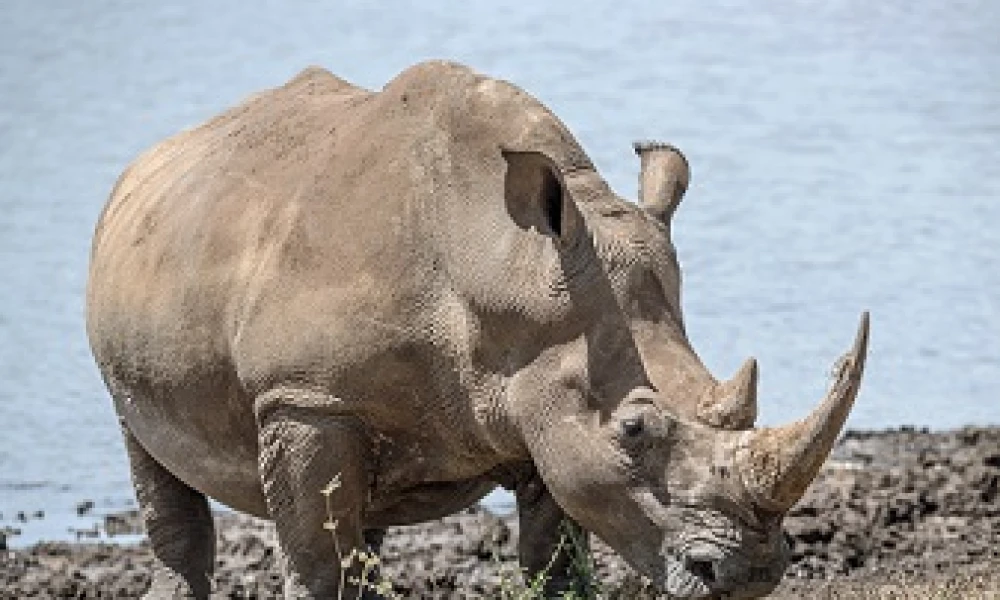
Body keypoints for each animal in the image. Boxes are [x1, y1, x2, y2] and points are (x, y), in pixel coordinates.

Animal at [86, 61, 869, 599]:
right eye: (634, 430)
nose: (751, 573)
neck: (503, 264)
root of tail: (145, 161)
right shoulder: (303, 398)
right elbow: (315, 563)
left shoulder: (545, 397)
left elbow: (556, 561)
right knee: (151, 457)